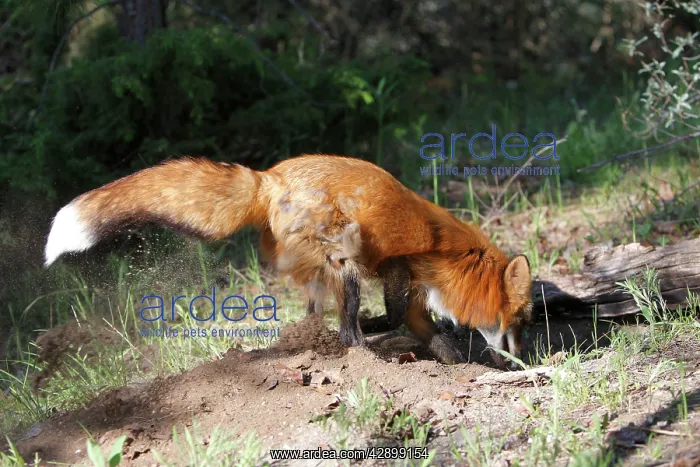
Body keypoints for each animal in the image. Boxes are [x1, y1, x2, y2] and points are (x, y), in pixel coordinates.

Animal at [44, 155, 534, 369]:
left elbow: (433, 337)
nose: (523, 358)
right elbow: (394, 319)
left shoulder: (415, 294)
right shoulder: (402, 268)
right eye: (519, 322)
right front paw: (380, 331)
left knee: (317, 315)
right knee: (347, 331)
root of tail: (268, 177)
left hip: (323, 269)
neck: (453, 256)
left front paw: (464, 363)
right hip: (344, 265)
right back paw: (366, 353)